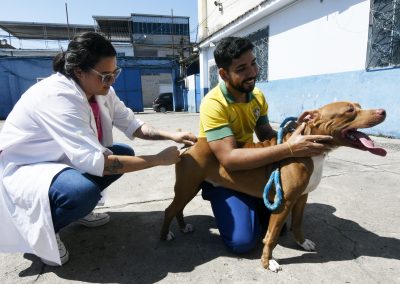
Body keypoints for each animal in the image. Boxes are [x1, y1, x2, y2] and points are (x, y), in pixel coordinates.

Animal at [161, 101, 386, 272]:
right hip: (187, 186)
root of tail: (191, 145)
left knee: (178, 209)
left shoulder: (301, 198)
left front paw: (302, 242)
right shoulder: (284, 203)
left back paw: (183, 227)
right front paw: (268, 262)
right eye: (350, 110)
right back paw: (165, 236)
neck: (312, 149)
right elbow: (271, 236)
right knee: (169, 209)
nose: (383, 111)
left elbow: (298, 224)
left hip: (191, 187)